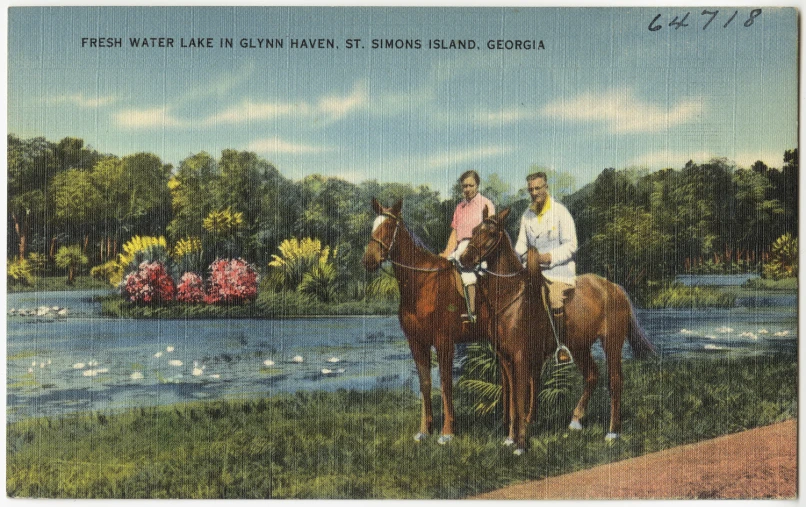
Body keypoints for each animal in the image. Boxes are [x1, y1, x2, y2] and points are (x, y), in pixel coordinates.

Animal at [460, 206, 656, 440]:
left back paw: (612, 431)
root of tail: (614, 287)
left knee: (615, 381)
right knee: (592, 376)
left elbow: (520, 394)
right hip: (579, 347)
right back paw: (576, 419)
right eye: (474, 230)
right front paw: (511, 436)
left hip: (611, 342)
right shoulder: (505, 358)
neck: (511, 296)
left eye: (490, 233)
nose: (464, 259)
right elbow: (512, 395)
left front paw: (519, 437)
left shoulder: (520, 356)